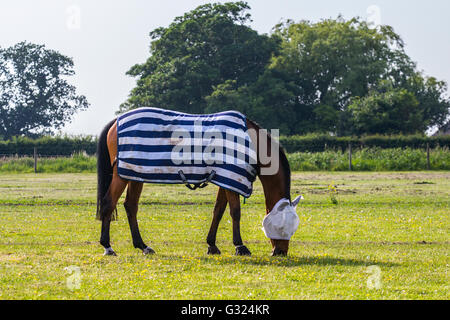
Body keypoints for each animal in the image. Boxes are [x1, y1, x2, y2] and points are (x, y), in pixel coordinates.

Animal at [96, 109, 300, 256]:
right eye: (282, 226)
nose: (281, 252)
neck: (251, 143)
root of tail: (116, 121)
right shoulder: (231, 178)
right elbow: (235, 212)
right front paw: (240, 246)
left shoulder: (225, 180)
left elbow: (218, 211)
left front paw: (212, 245)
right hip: (121, 175)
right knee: (108, 203)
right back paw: (108, 247)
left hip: (135, 174)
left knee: (130, 206)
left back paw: (142, 246)